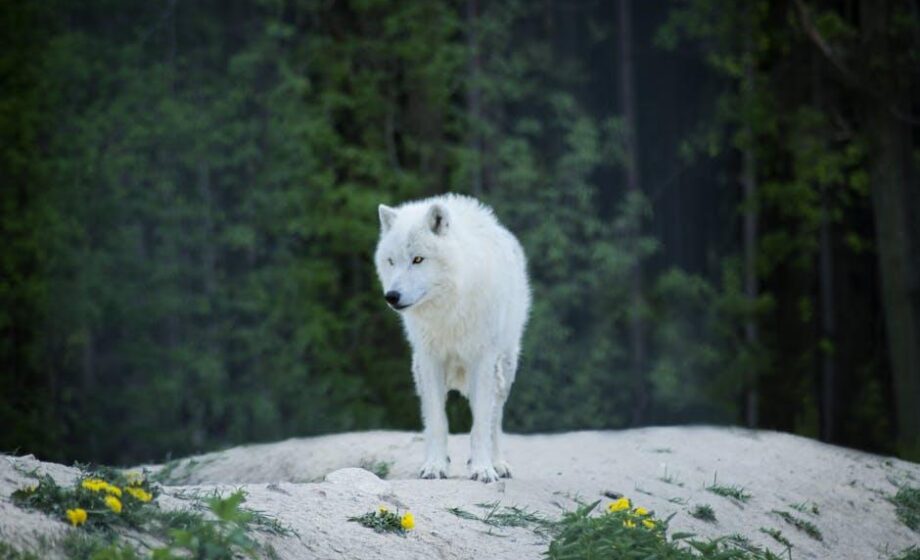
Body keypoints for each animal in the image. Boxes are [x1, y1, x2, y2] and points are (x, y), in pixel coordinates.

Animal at [374, 194, 530, 482]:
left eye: (418, 259)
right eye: (391, 261)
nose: (391, 296)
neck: (447, 309)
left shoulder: (483, 360)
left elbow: (481, 424)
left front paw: (482, 468)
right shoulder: (430, 360)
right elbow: (437, 421)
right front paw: (435, 466)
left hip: (504, 368)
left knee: (495, 419)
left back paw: (498, 463)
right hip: (419, 371)